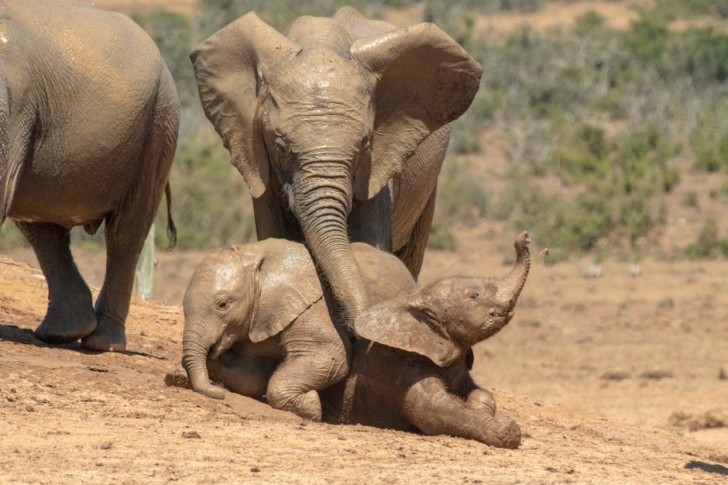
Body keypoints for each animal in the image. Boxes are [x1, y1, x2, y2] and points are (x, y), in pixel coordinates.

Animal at [181, 238, 417, 420]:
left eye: (223, 304)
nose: (219, 392)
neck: (257, 254)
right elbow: (253, 376)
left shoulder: (311, 307)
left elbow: (333, 356)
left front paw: (311, 406)